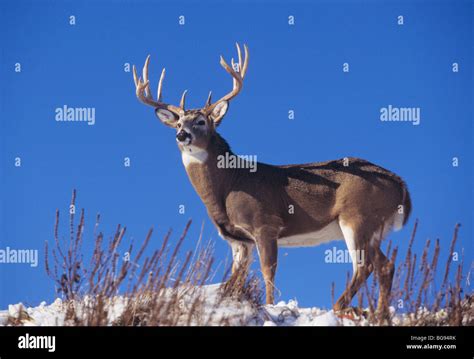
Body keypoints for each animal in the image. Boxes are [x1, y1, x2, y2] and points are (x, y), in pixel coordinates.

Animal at [131, 43, 412, 316]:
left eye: (201, 121)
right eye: (179, 122)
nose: (181, 135)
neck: (229, 184)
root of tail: (401, 185)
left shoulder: (265, 223)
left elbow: (269, 271)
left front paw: (270, 307)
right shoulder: (238, 240)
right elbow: (234, 281)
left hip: (357, 217)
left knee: (364, 266)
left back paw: (342, 307)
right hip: (373, 228)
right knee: (385, 266)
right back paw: (379, 313)